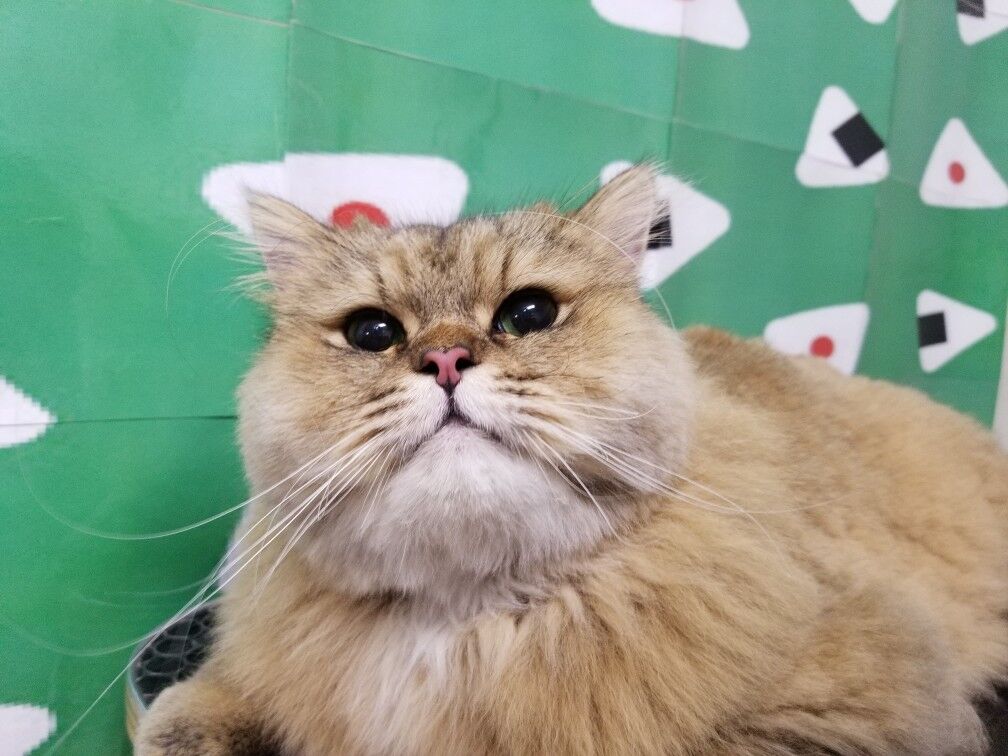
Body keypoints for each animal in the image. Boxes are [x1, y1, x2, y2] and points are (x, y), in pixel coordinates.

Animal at [136, 165, 1008, 755]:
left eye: (528, 313)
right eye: (373, 332)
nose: (446, 359)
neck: (465, 619)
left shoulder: (865, 706)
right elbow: (184, 719)